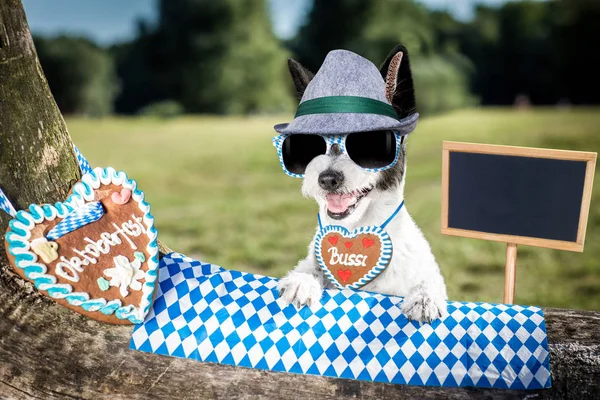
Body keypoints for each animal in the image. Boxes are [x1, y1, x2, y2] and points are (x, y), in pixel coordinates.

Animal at [274, 46, 448, 322]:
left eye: (369, 142)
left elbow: (427, 281)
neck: (356, 229)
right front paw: (303, 280)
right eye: (309, 144)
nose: (327, 178)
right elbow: (311, 267)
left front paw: (424, 297)